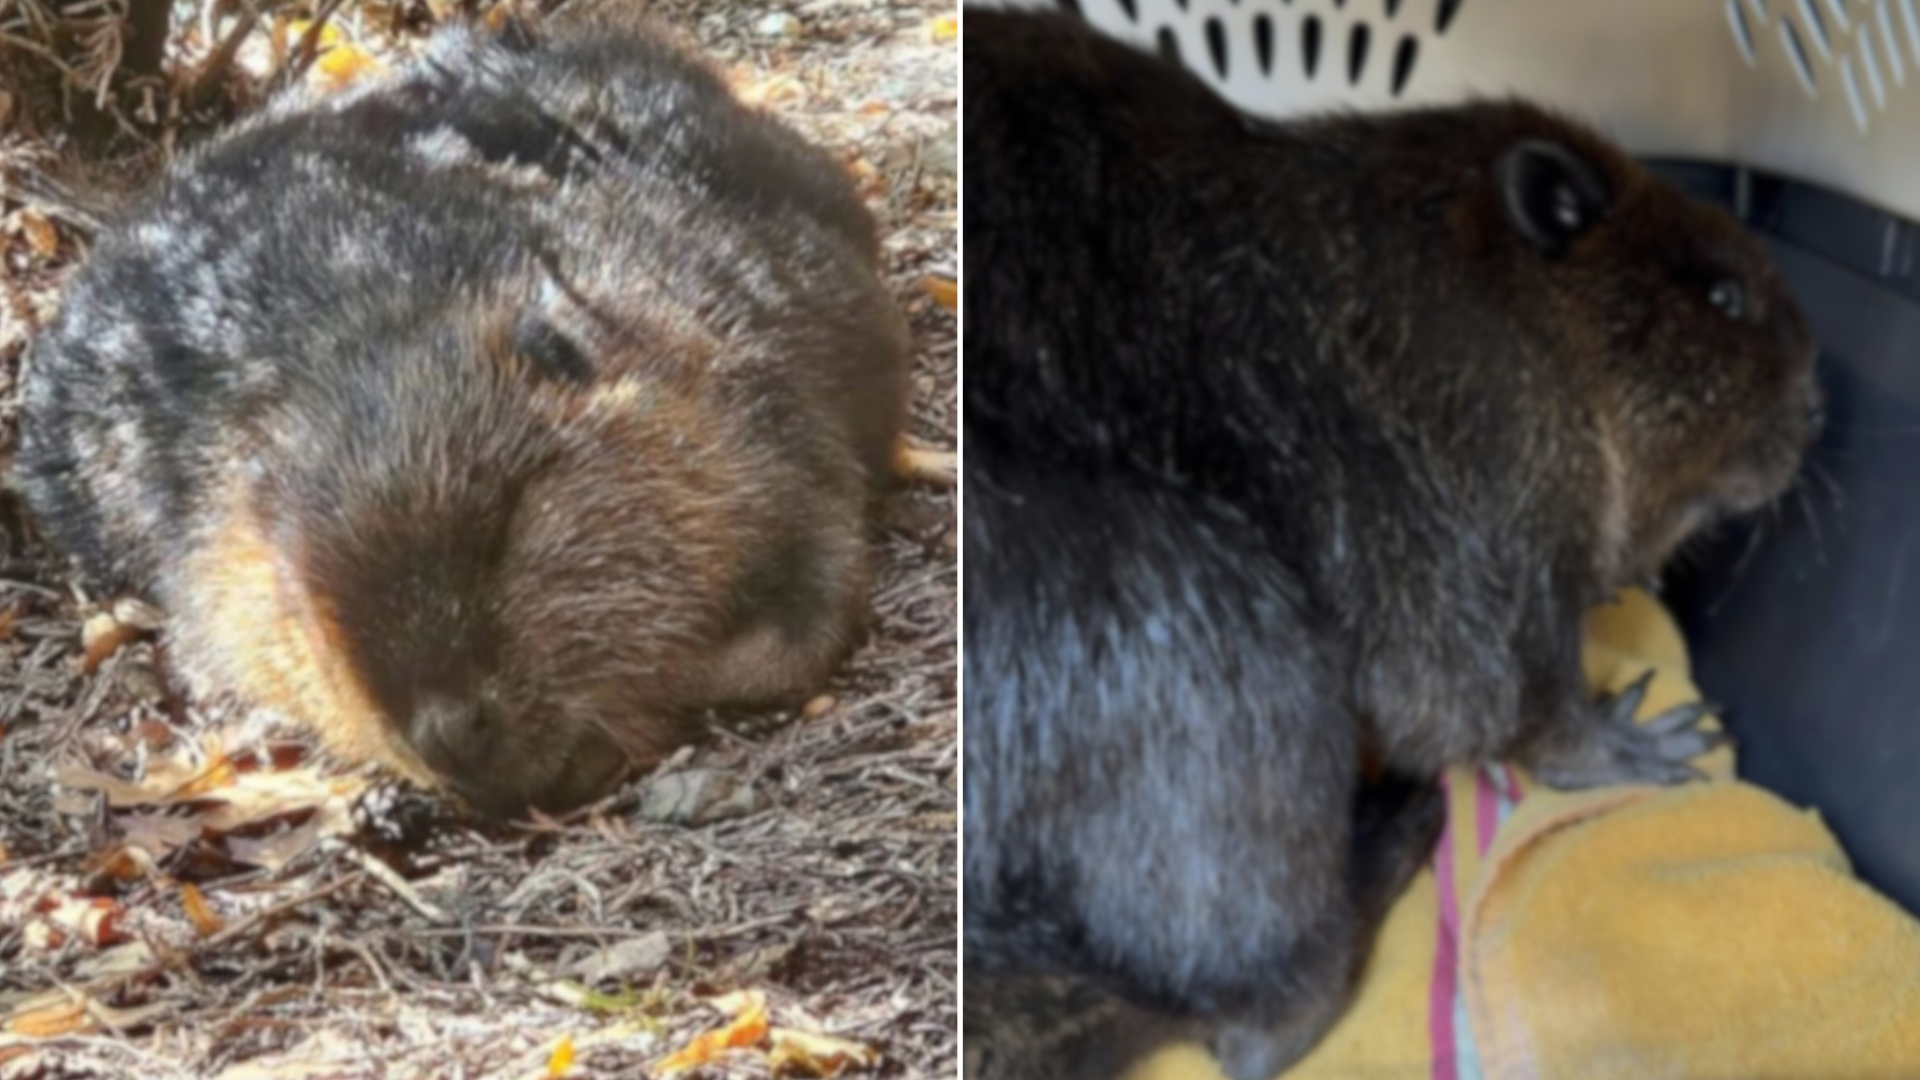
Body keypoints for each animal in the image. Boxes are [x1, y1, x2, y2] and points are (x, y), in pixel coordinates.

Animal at [962, 10, 1821, 1080]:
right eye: (1721, 296)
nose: (1818, 404)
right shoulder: (1473, 482)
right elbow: (1494, 686)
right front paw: (1648, 737)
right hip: (1205, 618)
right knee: (1259, 1017)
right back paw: (1398, 823)